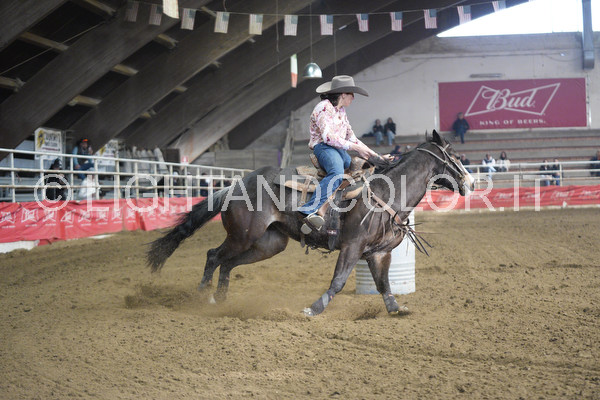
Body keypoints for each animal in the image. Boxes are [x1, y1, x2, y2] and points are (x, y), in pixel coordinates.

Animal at [147, 130, 474, 316]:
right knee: (213, 256)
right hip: (242, 236)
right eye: (456, 156)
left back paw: (221, 300)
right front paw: (313, 308)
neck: (387, 193)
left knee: (227, 263)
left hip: (269, 244)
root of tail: (235, 185)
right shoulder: (352, 246)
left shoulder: (380, 253)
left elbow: (384, 285)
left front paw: (397, 309)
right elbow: (338, 282)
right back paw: (204, 298)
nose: (470, 183)